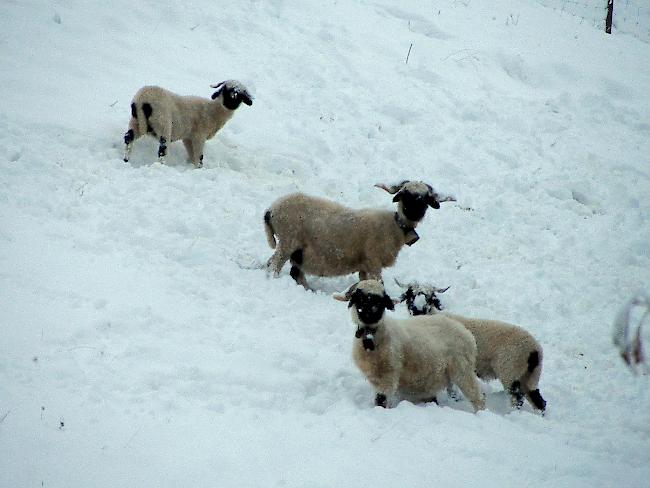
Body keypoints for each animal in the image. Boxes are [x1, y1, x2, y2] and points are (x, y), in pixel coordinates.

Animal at [123, 81, 252, 169]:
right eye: (226, 90)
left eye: (240, 95)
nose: (232, 98)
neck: (213, 111)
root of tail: (142, 100)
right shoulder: (199, 136)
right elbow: (199, 156)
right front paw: (199, 169)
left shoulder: (188, 138)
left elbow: (192, 155)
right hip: (163, 123)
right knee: (162, 149)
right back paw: (161, 165)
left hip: (135, 121)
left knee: (128, 138)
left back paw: (126, 159)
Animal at [260, 183, 454, 290]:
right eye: (405, 196)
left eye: (424, 199)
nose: (415, 213)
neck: (395, 227)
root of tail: (271, 210)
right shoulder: (374, 261)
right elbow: (378, 283)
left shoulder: (364, 265)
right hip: (288, 241)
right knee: (273, 267)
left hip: (294, 248)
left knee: (287, 269)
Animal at [336, 278, 484, 412]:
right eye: (358, 297)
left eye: (381, 300)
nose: (370, 315)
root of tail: (465, 331)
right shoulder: (376, 378)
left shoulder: (389, 377)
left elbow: (381, 401)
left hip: (463, 370)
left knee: (478, 398)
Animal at [394, 282, 548, 412]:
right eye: (410, 295)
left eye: (429, 297)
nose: (417, 309)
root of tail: (535, 351)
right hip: (529, 376)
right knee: (539, 401)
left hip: (510, 372)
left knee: (517, 399)